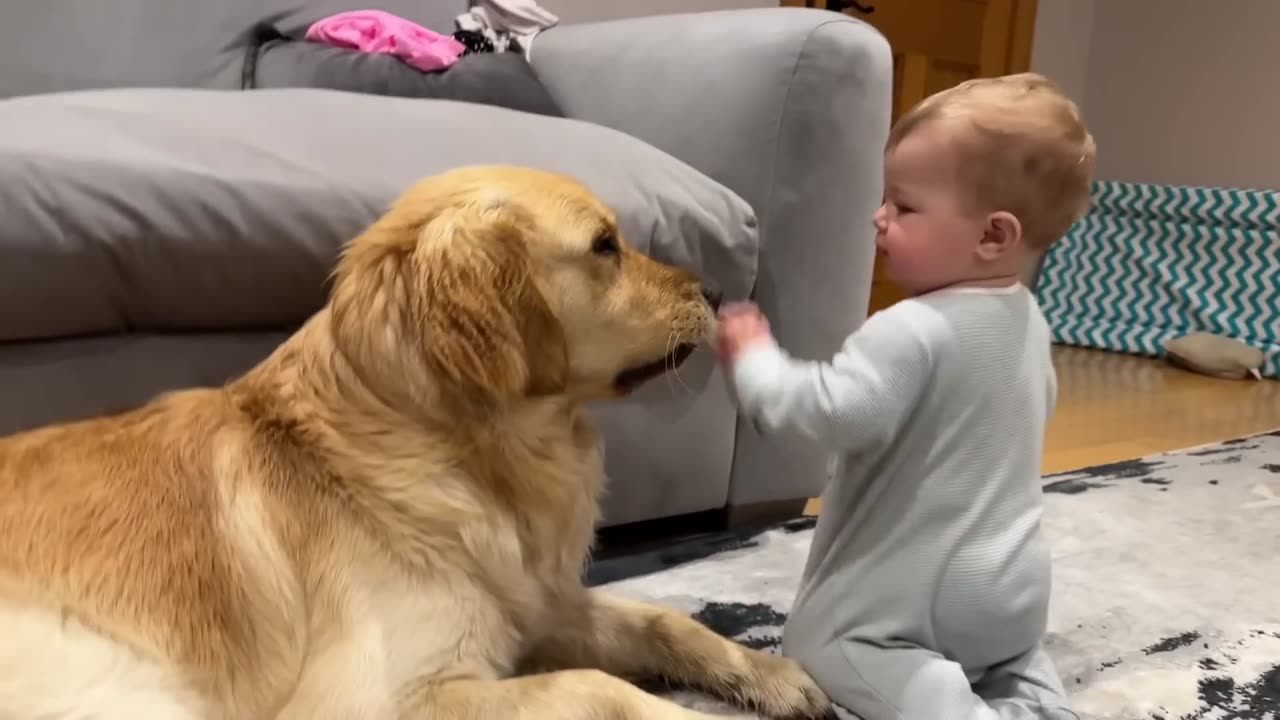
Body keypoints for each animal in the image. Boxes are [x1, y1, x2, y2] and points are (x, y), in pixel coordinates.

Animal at [0, 165, 834, 712]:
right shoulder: (388, 696)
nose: (718, 292)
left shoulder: (536, 605)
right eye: (604, 245)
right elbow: (602, 688)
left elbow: (664, 620)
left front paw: (772, 676)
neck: (461, 450)